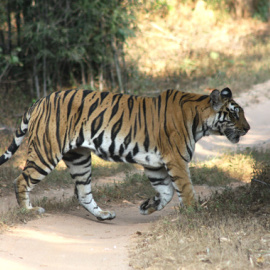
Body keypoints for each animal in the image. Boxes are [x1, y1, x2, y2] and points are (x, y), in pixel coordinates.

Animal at [0, 87, 250, 220]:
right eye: (235, 114)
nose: (247, 129)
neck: (201, 121)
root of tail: (40, 100)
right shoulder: (177, 161)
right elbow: (185, 190)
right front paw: (194, 213)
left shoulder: (154, 164)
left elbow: (167, 192)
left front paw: (148, 206)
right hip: (46, 152)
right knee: (21, 180)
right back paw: (29, 210)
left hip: (79, 158)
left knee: (82, 192)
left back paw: (103, 215)